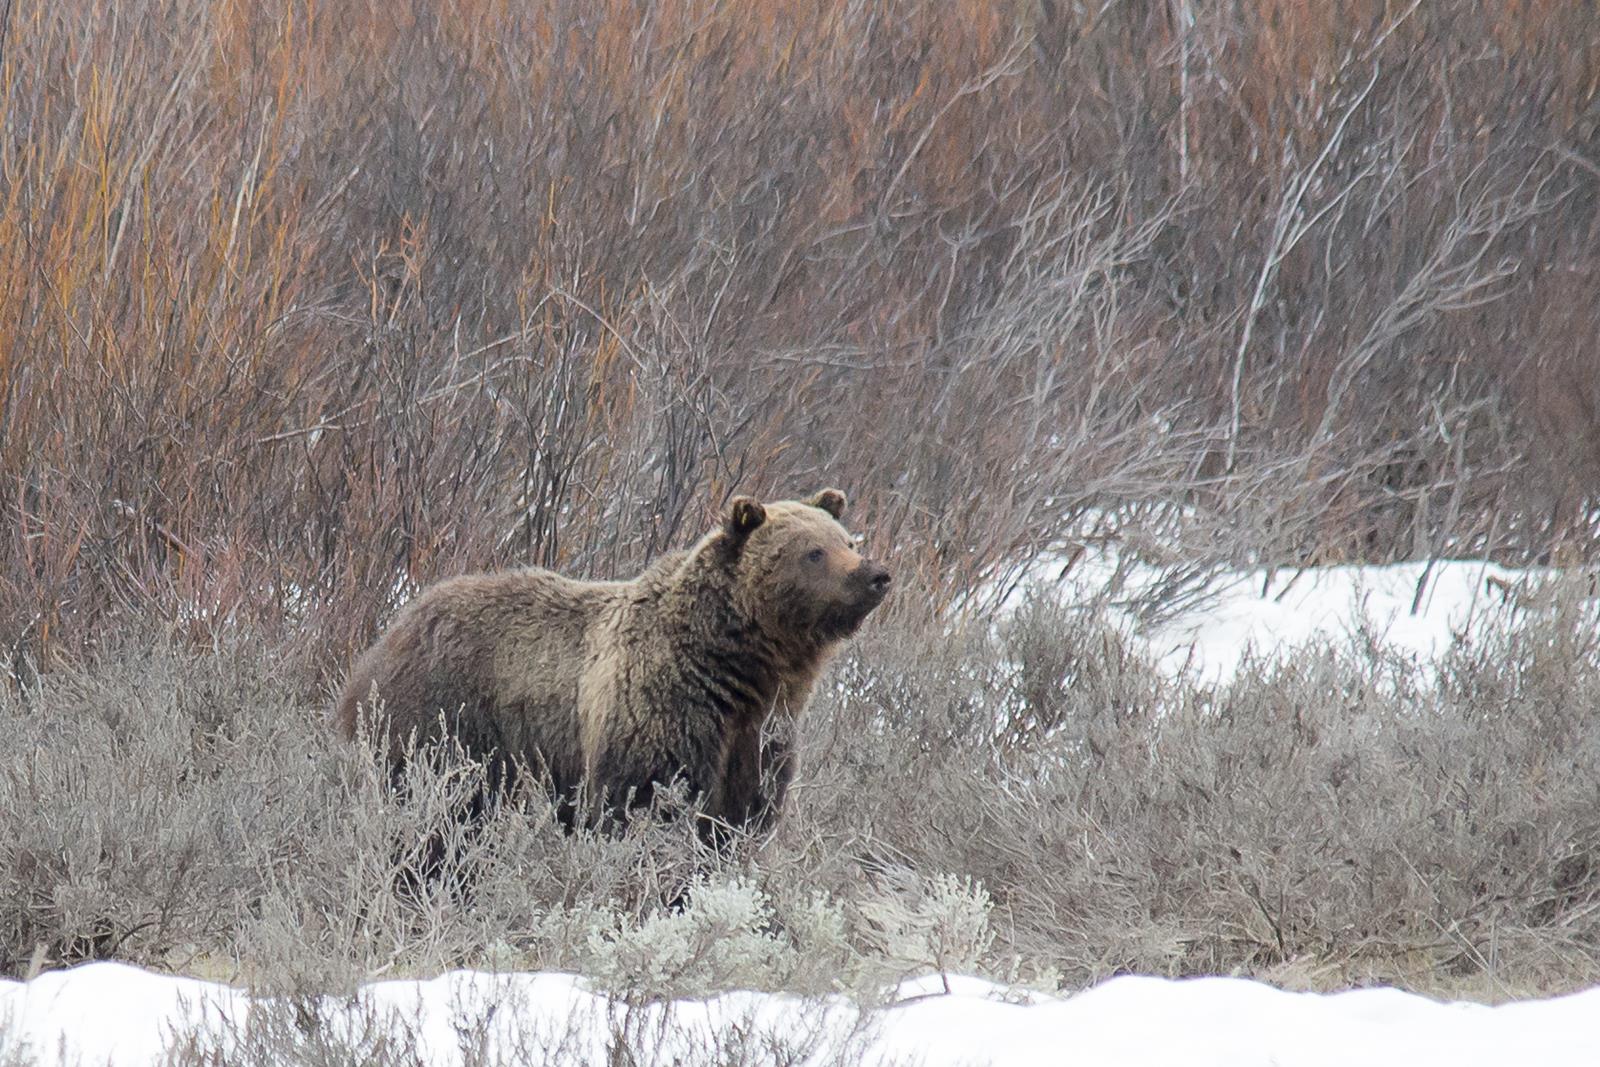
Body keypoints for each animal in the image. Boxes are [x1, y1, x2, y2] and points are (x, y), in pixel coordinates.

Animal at [332, 489, 896, 838]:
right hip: (446, 719)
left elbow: (742, 814)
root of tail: (386, 637)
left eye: (847, 540)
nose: (876, 574)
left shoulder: (757, 732)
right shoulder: (659, 708)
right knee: (437, 809)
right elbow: (643, 798)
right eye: (812, 552)